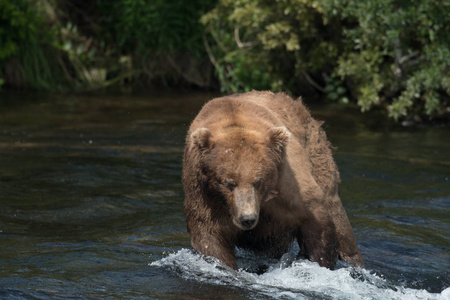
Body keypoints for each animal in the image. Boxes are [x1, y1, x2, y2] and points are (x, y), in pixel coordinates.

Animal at [181, 91, 364, 270]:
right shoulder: (204, 193)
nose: (247, 218)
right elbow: (210, 238)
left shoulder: (287, 183)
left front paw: (319, 261)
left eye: (258, 181)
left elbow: (315, 219)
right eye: (229, 183)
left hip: (316, 154)